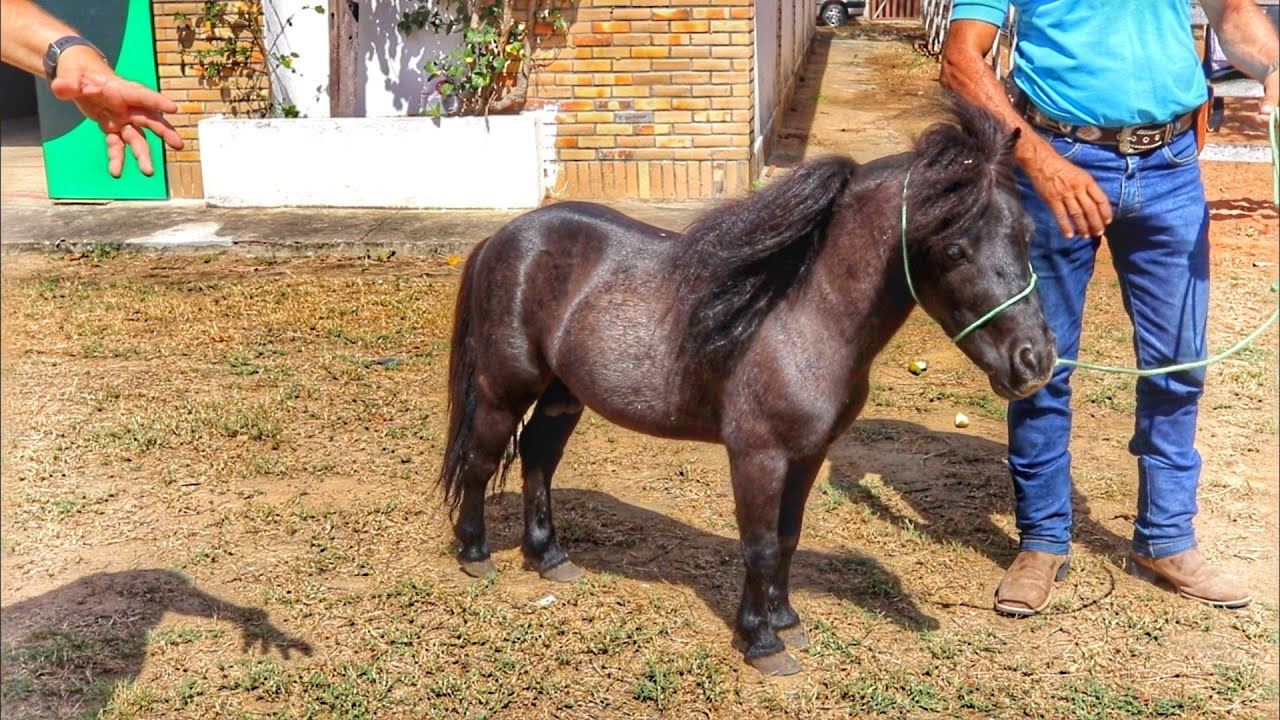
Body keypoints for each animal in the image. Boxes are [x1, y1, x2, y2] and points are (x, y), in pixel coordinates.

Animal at [438, 98, 1056, 676]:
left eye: (1027, 235)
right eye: (954, 248)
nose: (1036, 361)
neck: (799, 317)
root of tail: (502, 238)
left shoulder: (808, 455)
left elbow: (787, 536)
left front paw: (786, 620)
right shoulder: (758, 456)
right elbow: (758, 544)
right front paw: (761, 642)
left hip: (562, 396)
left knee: (537, 458)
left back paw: (549, 557)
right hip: (505, 388)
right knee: (481, 460)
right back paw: (475, 551)